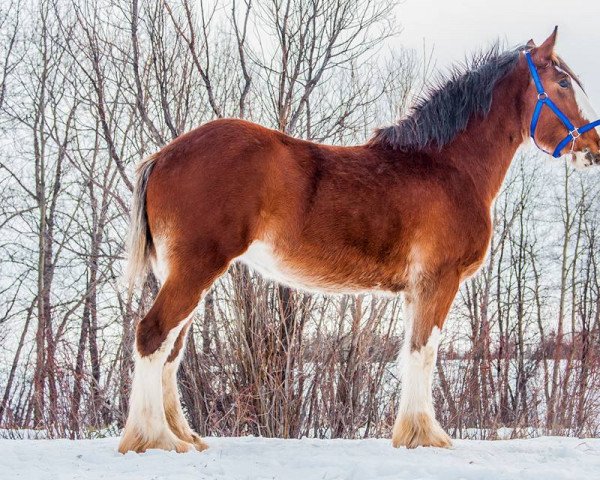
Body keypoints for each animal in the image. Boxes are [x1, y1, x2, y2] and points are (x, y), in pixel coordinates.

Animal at [118, 28, 600, 456]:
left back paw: (183, 436)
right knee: (152, 335)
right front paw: (428, 435)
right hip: (196, 269)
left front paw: (411, 432)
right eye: (562, 83)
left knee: (171, 350)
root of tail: (164, 155)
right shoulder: (439, 281)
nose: (594, 147)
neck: (445, 166)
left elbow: (412, 351)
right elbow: (425, 352)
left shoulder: (416, 291)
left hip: (185, 273)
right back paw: (155, 439)